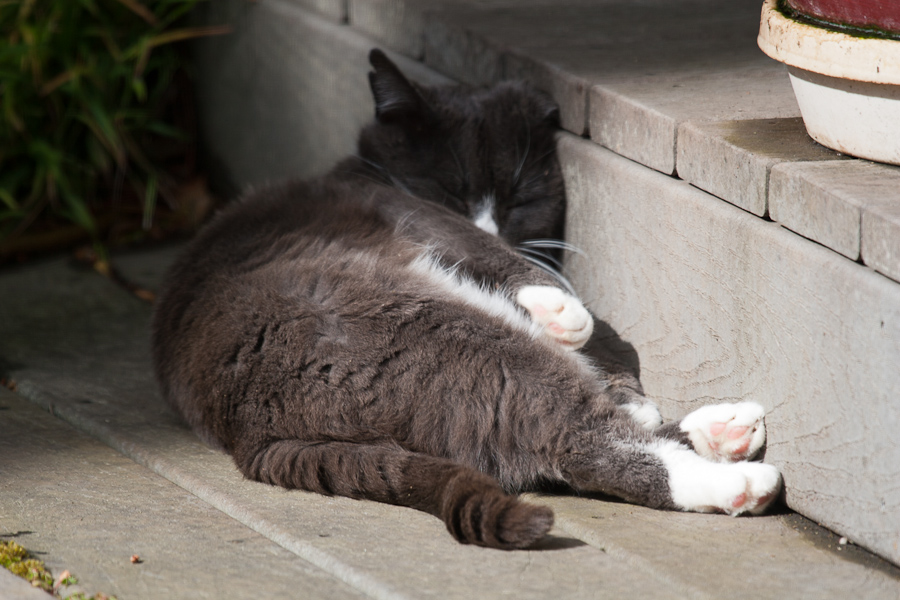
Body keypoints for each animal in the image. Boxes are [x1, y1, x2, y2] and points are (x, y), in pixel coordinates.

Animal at [153, 49, 780, 552]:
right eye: (449, 188)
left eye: (521, 198)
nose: (488, 218)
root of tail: (251, 433)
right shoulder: (415, 213)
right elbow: (527, 276)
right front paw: (564, 316)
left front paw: (625, 388)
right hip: (449, 338)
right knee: (576, 437)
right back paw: (737, 482)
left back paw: (724, 430)